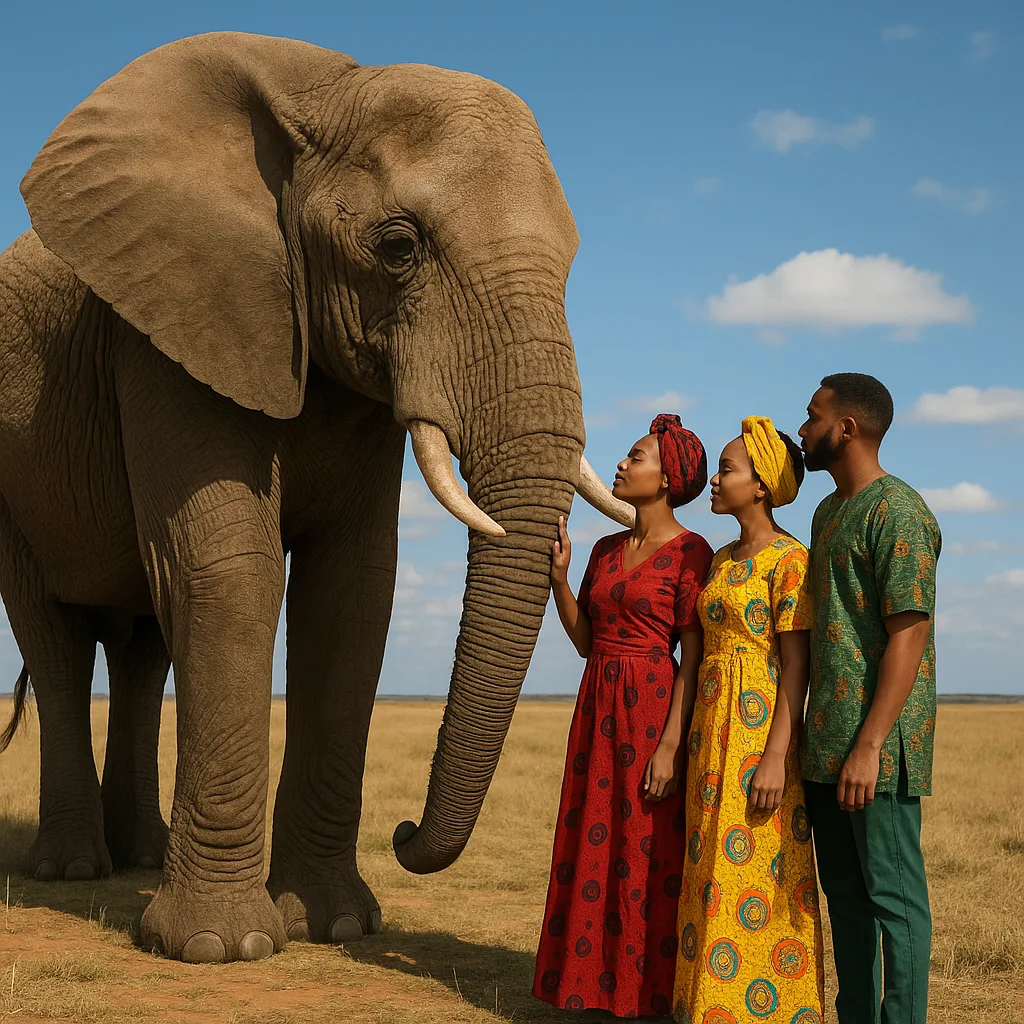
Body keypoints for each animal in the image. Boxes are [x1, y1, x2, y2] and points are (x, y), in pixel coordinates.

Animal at [0, 32, 634, 963]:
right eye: (399, 246)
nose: (404, 832)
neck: (328, 88)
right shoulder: (174, 321)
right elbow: (233, 573)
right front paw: (220, 948)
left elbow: (353, 590)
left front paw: (334, 926)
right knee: (56, 643)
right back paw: (75, 871)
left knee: (144, 651)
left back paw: (141, 856)